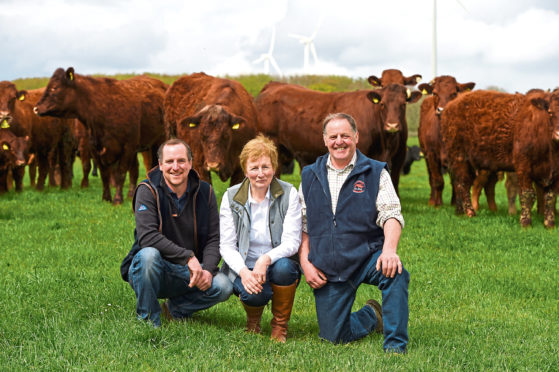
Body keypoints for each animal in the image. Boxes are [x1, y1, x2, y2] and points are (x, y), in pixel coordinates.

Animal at [33, 68, 166, 205]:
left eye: (54, 88)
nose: (36, 108)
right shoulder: (95, 147)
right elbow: (104, 174)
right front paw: (106, 198)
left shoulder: (127, 147)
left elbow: (121, 173)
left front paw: (117, 199)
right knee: (135, 169)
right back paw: (130, 195)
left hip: (157, 142)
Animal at [418, 75, 474, 206]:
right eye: (435, 93)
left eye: (454, 93)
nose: (442, 110)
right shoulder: (432, 155)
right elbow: (438, 180)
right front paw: (438, 203)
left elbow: (456, 182)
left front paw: (455, 203)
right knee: (431, 178)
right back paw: (432, 200)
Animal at [442, 90, 559, 228]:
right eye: (550, 112)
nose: (558, 134)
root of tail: (452, 104)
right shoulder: (523, 167)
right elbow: (527, 194)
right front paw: (525, 223)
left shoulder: (555, 172)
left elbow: (551, 197)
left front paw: (550, 224)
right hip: (459, 158)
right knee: (462, 184)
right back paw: (470, 212)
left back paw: (460, 211)